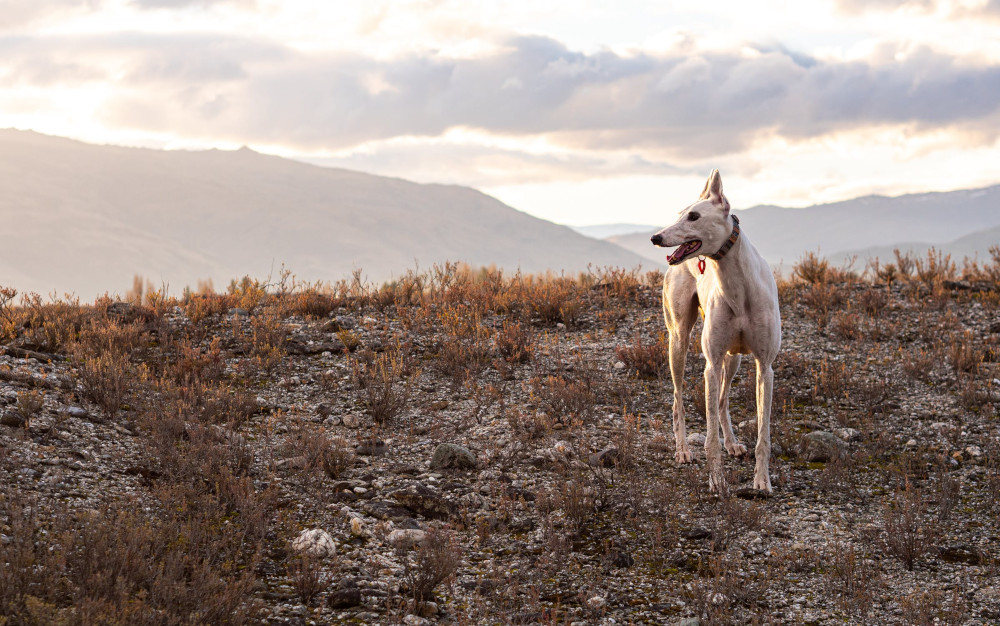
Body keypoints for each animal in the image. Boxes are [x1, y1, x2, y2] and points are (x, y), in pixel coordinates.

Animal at [648, 169, 780, 492]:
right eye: (680, 214)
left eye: (694, 216)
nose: (656, 237)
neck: (739, 287)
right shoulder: (711, 364)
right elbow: (709, 440)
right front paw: (717, 481)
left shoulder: (765, 366)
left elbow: (763, 435)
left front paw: (762, 480)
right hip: (679, 341)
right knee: (678, 400)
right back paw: (683, 449)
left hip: (734, 357)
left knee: (722, 401)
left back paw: (732, 443)